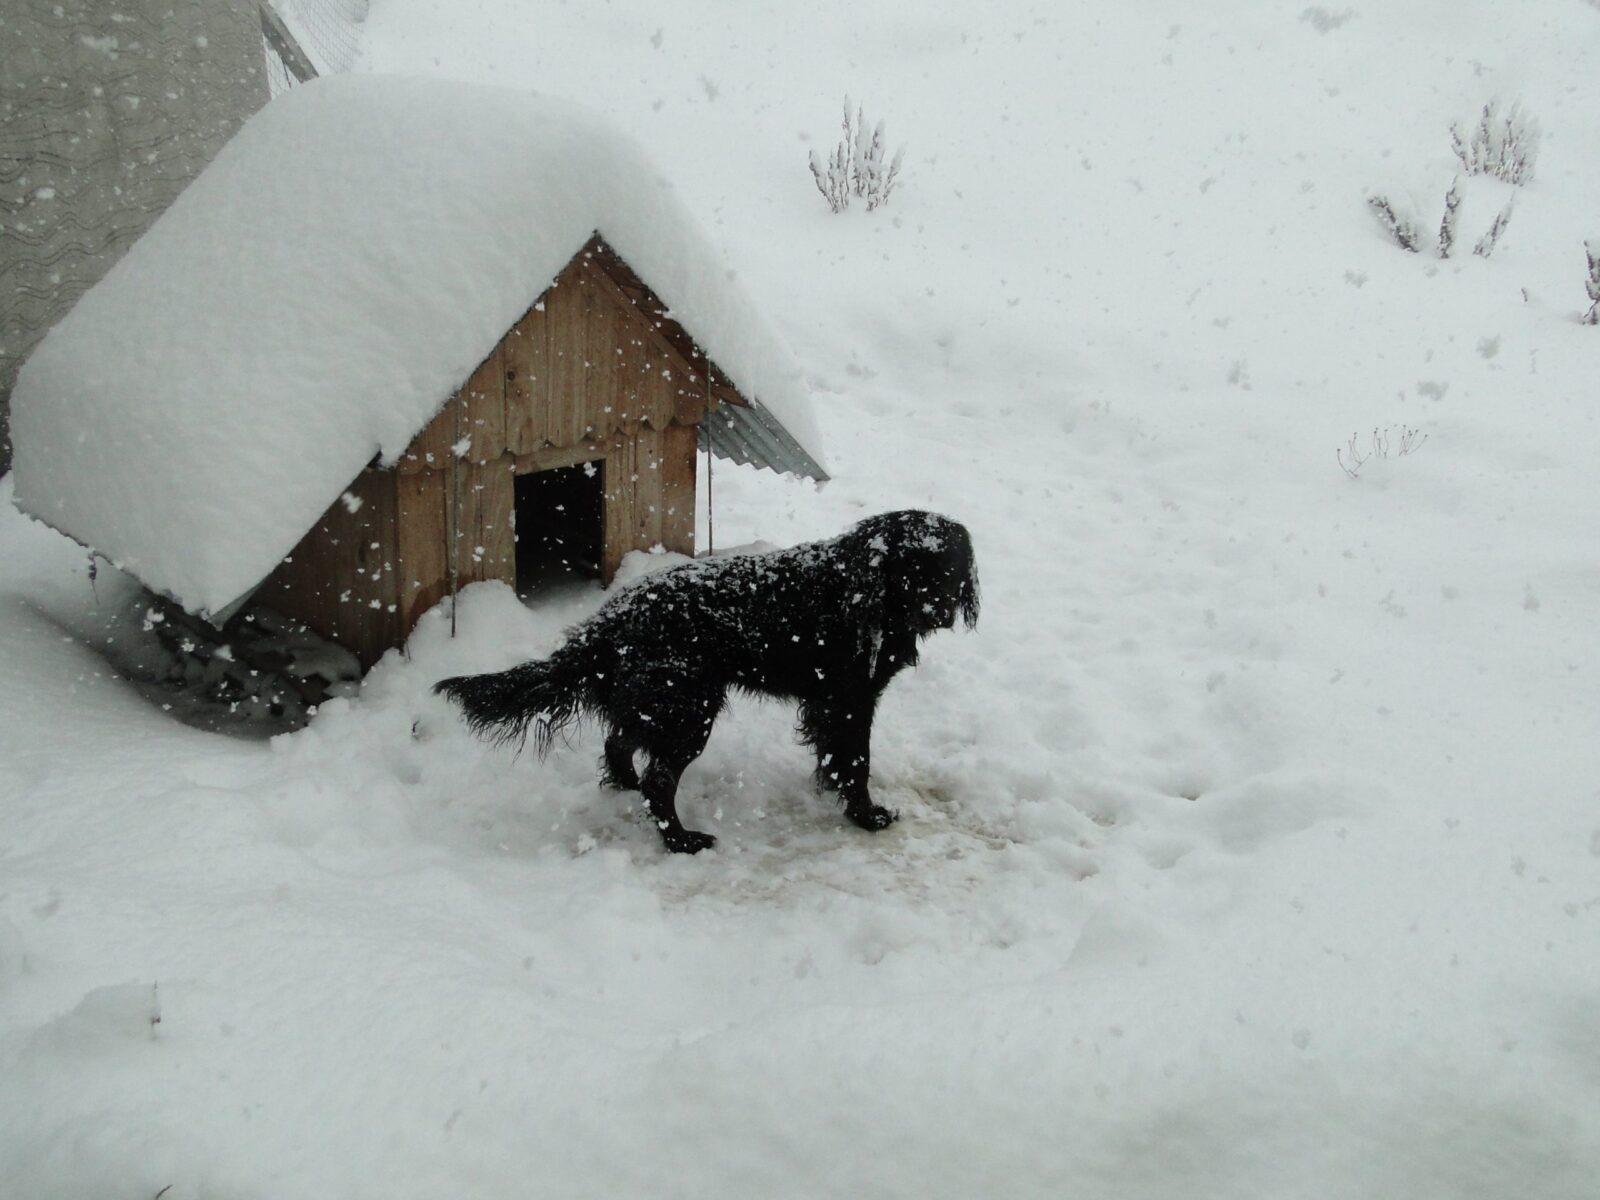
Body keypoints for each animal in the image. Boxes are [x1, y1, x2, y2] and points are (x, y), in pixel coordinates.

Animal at [432, 508, 972, 857]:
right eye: (912, 567)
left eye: (950, 568)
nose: (941, 610)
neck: (864, 592)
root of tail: (609, 620)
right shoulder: (849, 698)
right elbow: (856, 762)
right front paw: (867, 815)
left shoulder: (831, 701)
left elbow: (835, 758)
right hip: (688, 710)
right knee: (659, 778)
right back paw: (682, 841)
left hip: (659, 704)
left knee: (618, 744)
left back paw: (626, 786)